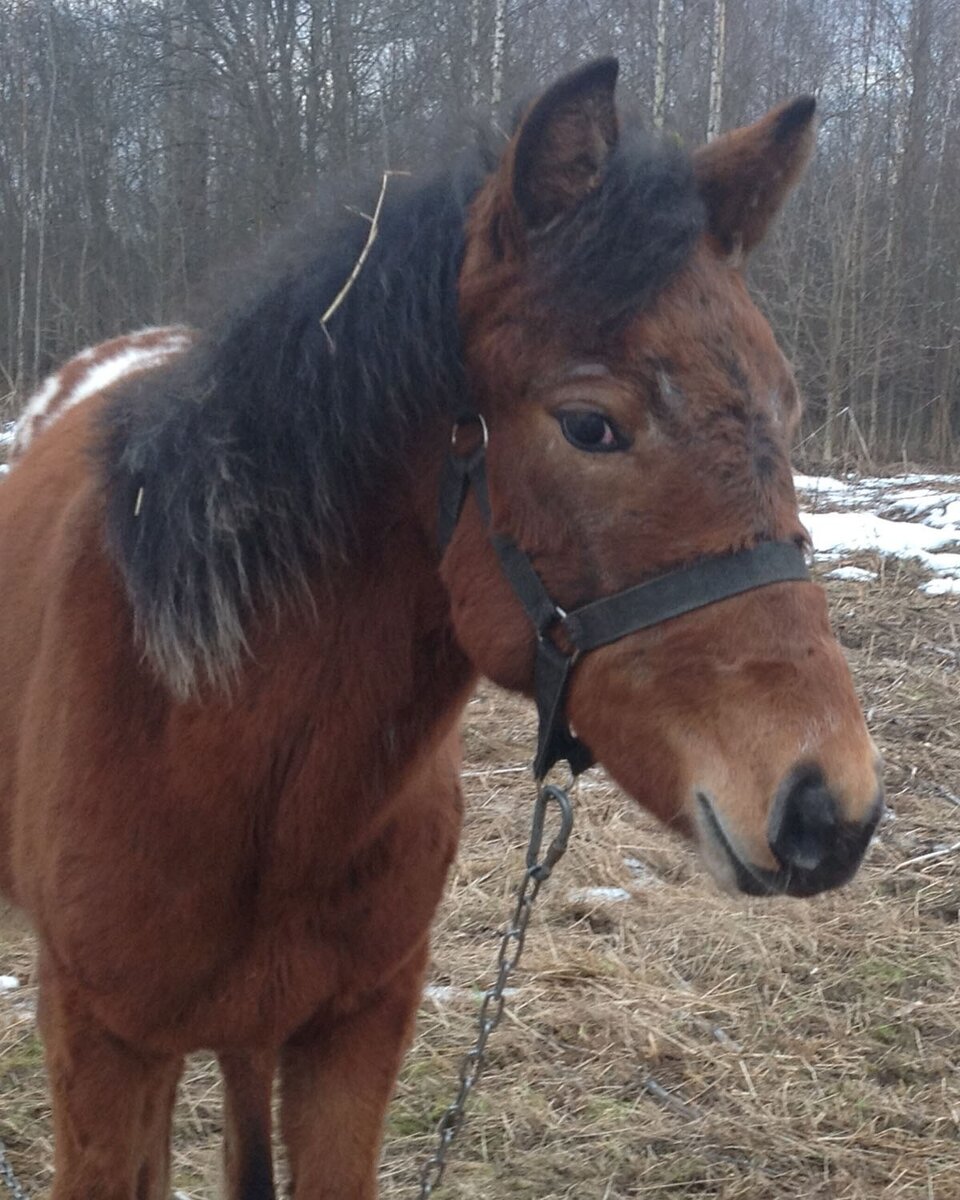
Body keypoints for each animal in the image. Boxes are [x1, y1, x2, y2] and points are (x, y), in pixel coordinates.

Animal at [0, 58, 883, 1200]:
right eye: (590, 425)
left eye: (789, 406)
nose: (832, 810)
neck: (212, 742)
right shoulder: (103, 1048)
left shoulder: (356, 1033)